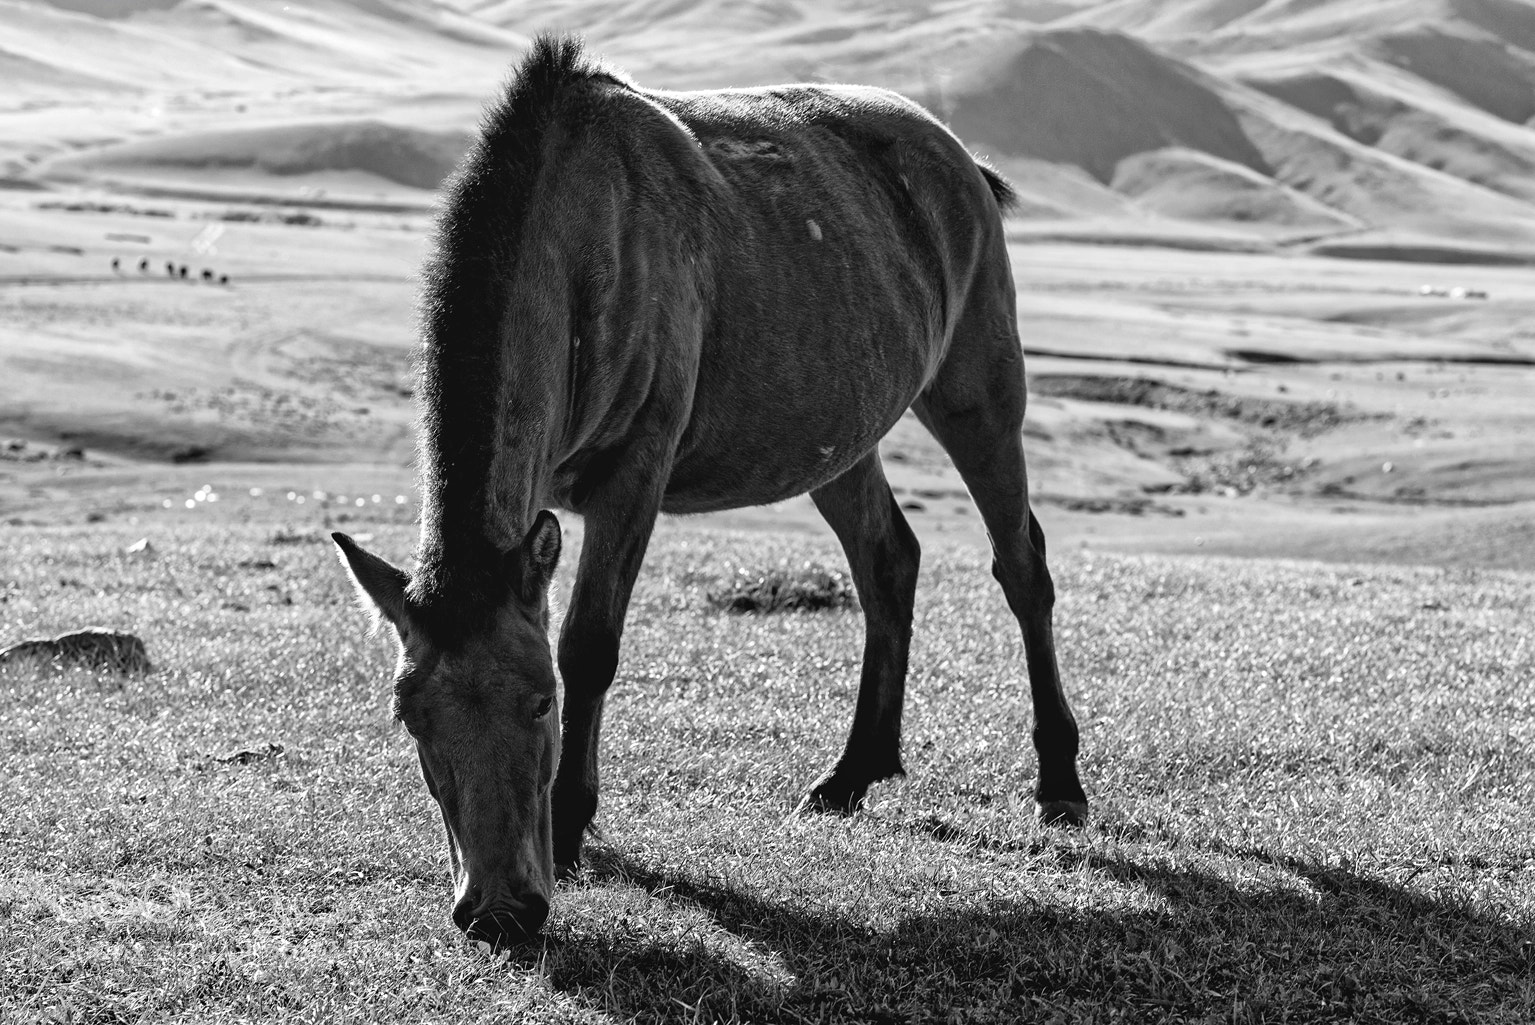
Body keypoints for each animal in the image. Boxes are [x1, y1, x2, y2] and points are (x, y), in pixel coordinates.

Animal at [333, 33, 1087, 948]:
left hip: (978, 397)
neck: (579, 242)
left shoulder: (634, 474)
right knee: (887, 562)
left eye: (541, 701)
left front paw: (572, 825)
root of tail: (960, 161)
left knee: (1022, 570)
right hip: (839, 439)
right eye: (411, 714)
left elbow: (591, 643)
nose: (500, 911)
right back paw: (850, 774)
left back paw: (1059, 783)